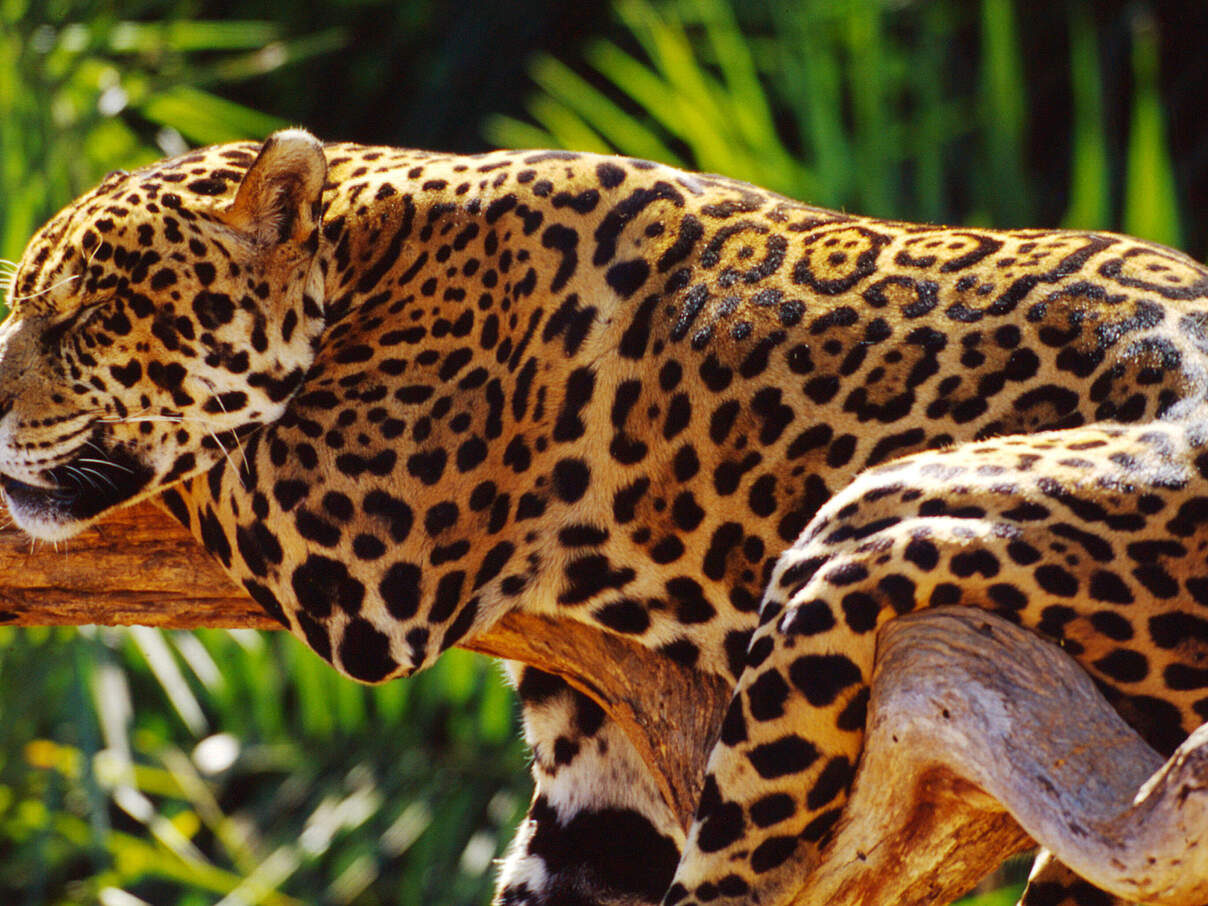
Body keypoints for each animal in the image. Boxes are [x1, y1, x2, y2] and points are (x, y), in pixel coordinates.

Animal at [2, 128, 1207, 906]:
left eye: (92, 315)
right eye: (24, 302)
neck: (367, 245)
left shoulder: (360, 536)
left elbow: (207, 444)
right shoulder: (599, 765)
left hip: (866, 546)